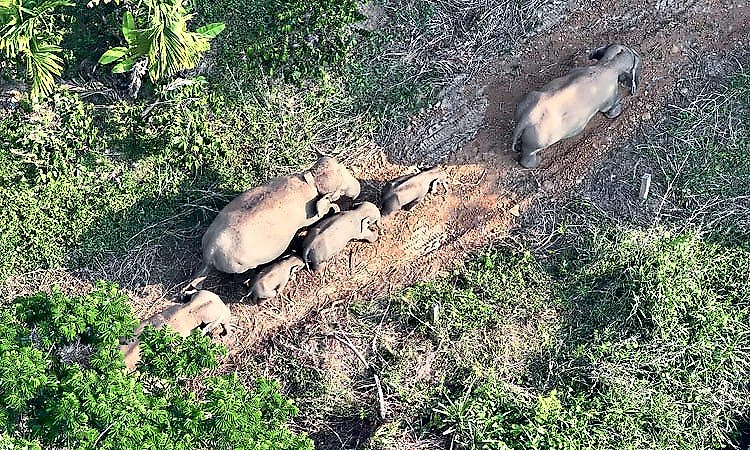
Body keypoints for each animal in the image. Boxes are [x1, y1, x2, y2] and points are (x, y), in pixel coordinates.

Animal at [185, 157, 360, 291]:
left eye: (342, 166)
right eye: (339, 190)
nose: (357, 191)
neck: (311, 180)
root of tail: (210, 251)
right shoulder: (308, 214)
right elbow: (321, 214)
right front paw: (335, 209)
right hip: (239, 264)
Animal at [511, 44, 642, 168]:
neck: (607, 65)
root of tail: (526, 119)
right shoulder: (610, 96)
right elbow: (610, 109)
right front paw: (618, 109)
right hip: (539, 139)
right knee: (529, 153)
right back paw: (537, 161)